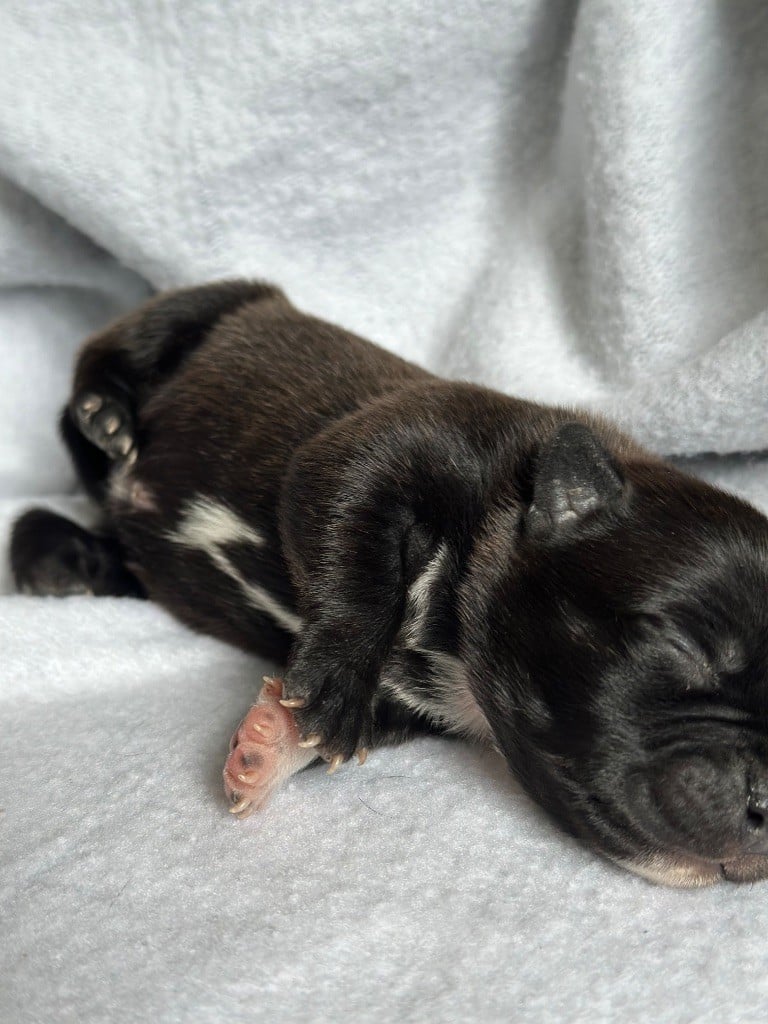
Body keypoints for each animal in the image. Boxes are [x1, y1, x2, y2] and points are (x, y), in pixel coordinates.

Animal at [10, 280, 768, 887]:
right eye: (682, 648)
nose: (766, 802)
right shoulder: (382, 447)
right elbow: (361, 564)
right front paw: (336, 681)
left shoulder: (416, 708)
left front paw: (269, 744)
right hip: (209, 304)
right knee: (104, 368)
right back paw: (104, 419)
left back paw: (64, 558)